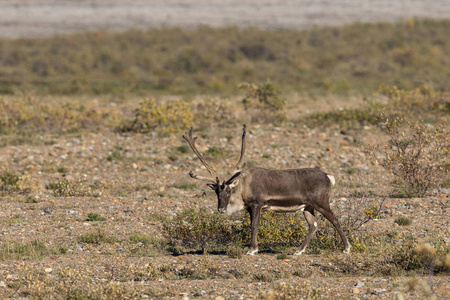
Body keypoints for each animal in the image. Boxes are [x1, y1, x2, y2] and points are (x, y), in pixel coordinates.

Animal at [181, 124, 350, 255]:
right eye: (216, 192)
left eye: (228, 191)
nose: (221, 209)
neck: (243, 186)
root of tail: (328, 176)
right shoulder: (250, 207)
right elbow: (252, 225)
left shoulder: (257, 204)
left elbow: (254, 225)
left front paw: (252, 250)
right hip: (307, 207)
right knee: (313, 224)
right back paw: (298, 251)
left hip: (321, 202)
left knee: (334, 219)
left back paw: (346, 248)